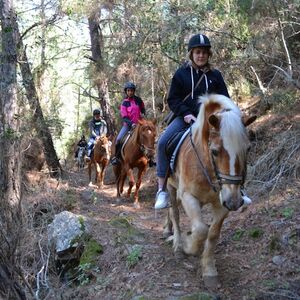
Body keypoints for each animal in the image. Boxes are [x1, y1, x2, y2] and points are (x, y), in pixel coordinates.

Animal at [163, 94, 256, 288]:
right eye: (214, 151)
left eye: (248, 148)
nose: (235, 201)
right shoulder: (188, 196)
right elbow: (200, 229)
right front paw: (188, 245)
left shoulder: (222, 204)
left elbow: (212, 234)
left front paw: (209, 270)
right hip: (170, 187)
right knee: (174, 213)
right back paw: (177, 244)